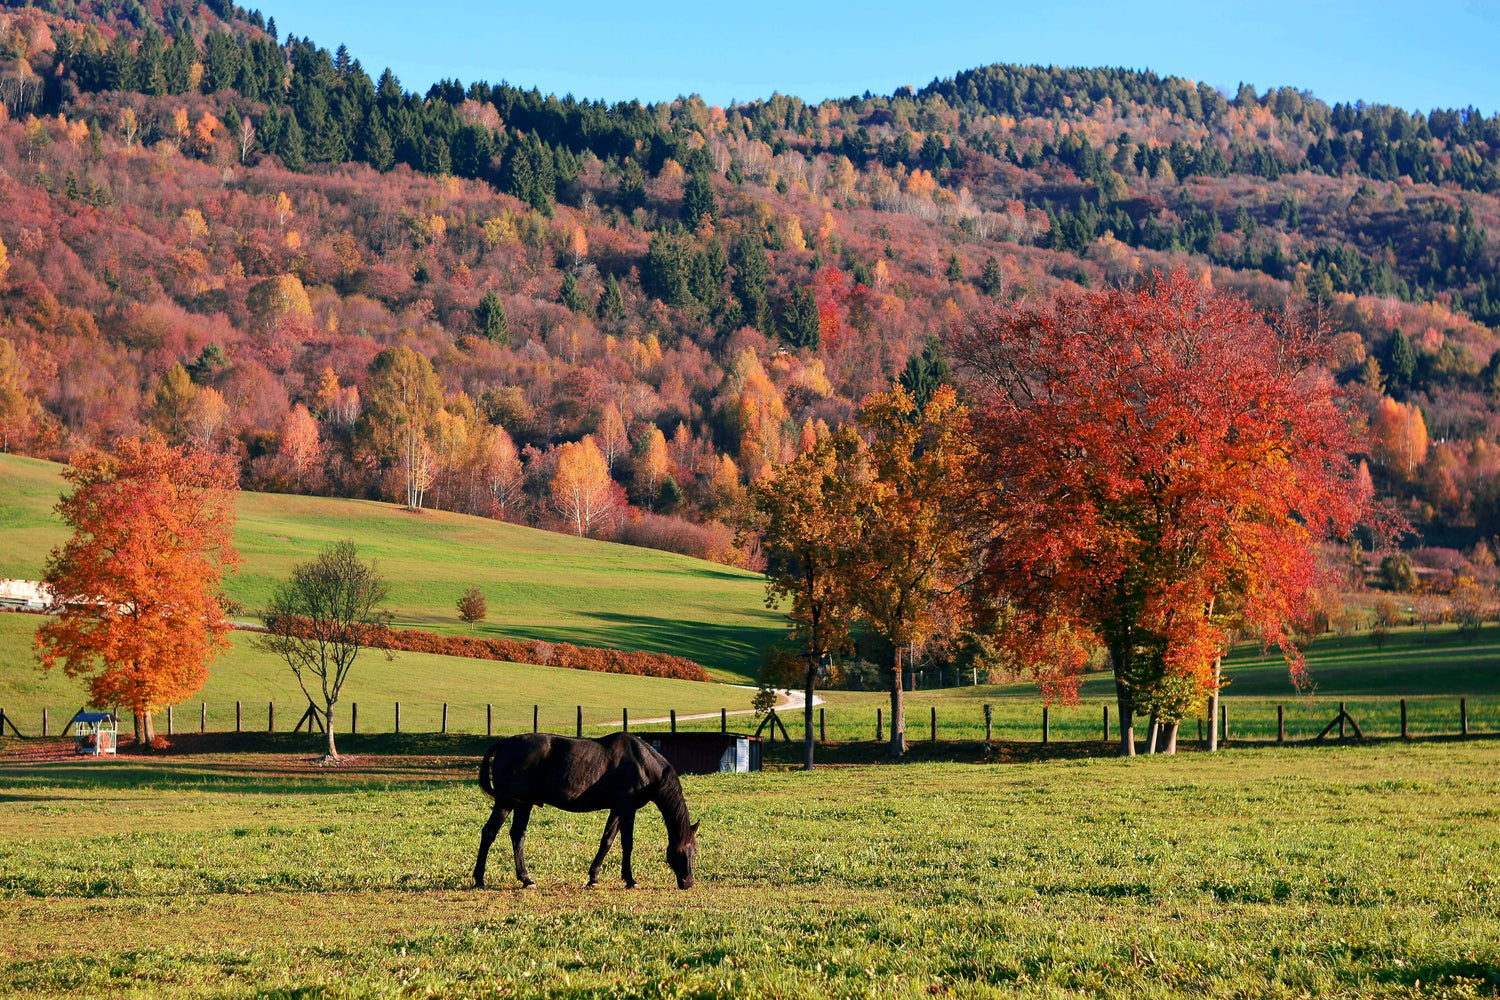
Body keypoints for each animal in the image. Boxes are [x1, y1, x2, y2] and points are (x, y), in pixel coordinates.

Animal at [473, 732, 700, 890]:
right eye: (679, 852)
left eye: (694, 851)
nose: (688, 882)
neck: (642, 763)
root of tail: (505, 743)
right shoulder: (627, 808)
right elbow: (627, 843)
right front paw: (630, 879)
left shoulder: (616, 809)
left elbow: (607, 841)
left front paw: (593, 878)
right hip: (506, 803)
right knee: (489, 833)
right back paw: (479, 879)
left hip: (523, 804)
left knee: (517, 836)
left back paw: (526, 879)